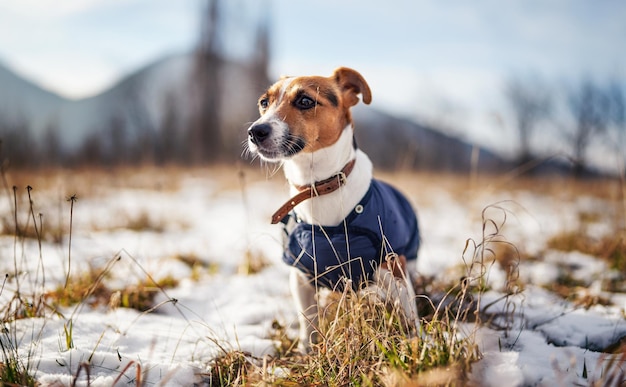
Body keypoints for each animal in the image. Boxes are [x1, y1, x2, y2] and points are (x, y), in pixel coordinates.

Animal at [246, 66, 416, 352]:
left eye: (305, 100)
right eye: (264, 102)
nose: (255, 131)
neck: (318, 186)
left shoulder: (394, 269)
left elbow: (409, 314)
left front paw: (416, 342)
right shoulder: (300, 274)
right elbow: (308, 319)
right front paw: (308, 349)